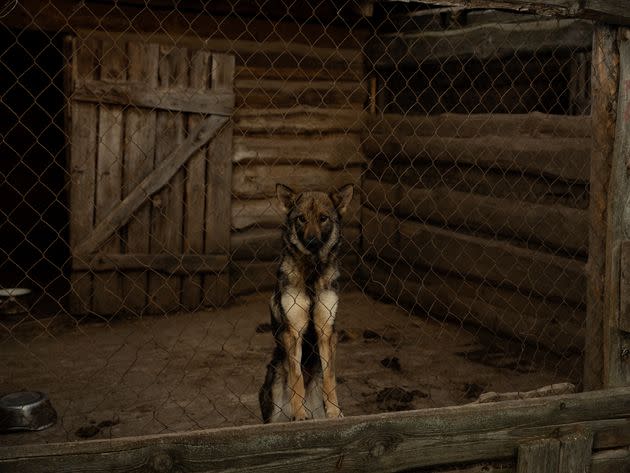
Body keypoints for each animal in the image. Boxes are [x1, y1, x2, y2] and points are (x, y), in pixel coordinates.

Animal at [258, 183, 356, 422]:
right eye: (301, 219)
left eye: (323, 218)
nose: (311, 241)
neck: (312, 273)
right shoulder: (293, 332)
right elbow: (297, 379)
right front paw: (300, 415)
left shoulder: (326, 331)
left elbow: (330, 378)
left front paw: (335, 411)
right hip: (275, 387)